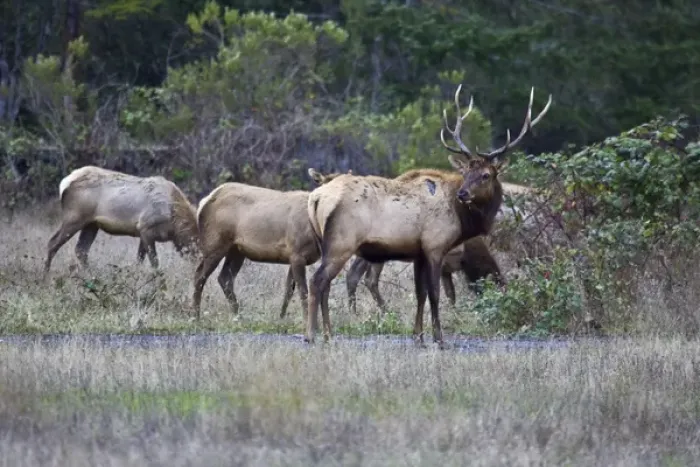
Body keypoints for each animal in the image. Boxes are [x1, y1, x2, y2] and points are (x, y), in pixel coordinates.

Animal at [43, 166, 199, 279]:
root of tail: (64, 184)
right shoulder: (146, 228)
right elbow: (154, 263)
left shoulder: (142, 233)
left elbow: (139, 259)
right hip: (74, 218)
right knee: (52, 242)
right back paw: (45, 275)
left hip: (91, 224)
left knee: (81, 250)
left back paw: (91, 276)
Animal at [305, 85, 552, 347]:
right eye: (466, 173)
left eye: (486, 174)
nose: (463, 193)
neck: (463, 221)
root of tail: (316, 197)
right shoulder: (435, 245)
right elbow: (435, 293)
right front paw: (439, 339)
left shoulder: (419, 252)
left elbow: (420, 293)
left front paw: (418, 337)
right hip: (342, 242)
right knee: (318, 281)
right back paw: (311, 334)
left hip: (327, 243)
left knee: (327, 284)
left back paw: (328, 334)